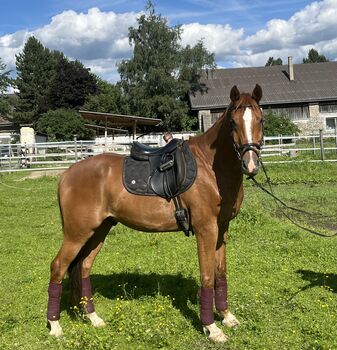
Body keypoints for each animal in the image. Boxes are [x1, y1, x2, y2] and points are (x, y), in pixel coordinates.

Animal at [46, 85, 262, 342]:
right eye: (232, 122)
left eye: (260, 119)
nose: (250, 164)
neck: (210, 168)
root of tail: (67, 175)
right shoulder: (206, 229)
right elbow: (207, 276)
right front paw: (212, 328)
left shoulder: (222, 230)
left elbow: (220, 273)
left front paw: (227, 317)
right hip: (77, 233)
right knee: (58, 267)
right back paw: (55, 326)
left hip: (98, 231)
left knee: (83, 268)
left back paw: (93, 318)